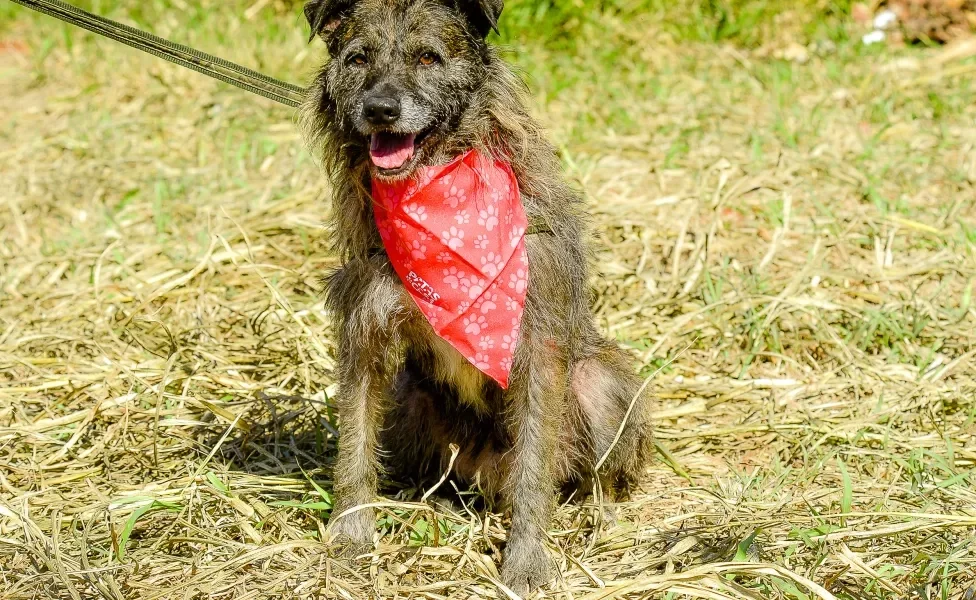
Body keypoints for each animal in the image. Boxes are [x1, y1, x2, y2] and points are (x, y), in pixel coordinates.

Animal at [304, 0, 656, 592]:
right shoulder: (364, 337)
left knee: (588, 470)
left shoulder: (535, 345)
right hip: (410, 397)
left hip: (598, 383)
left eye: (428, 57)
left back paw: (602, 514)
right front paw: (351, 535)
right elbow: (354, 446)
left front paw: (526, 559)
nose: (380, 110)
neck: (436, 187)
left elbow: (534, 468)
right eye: (358, 58)